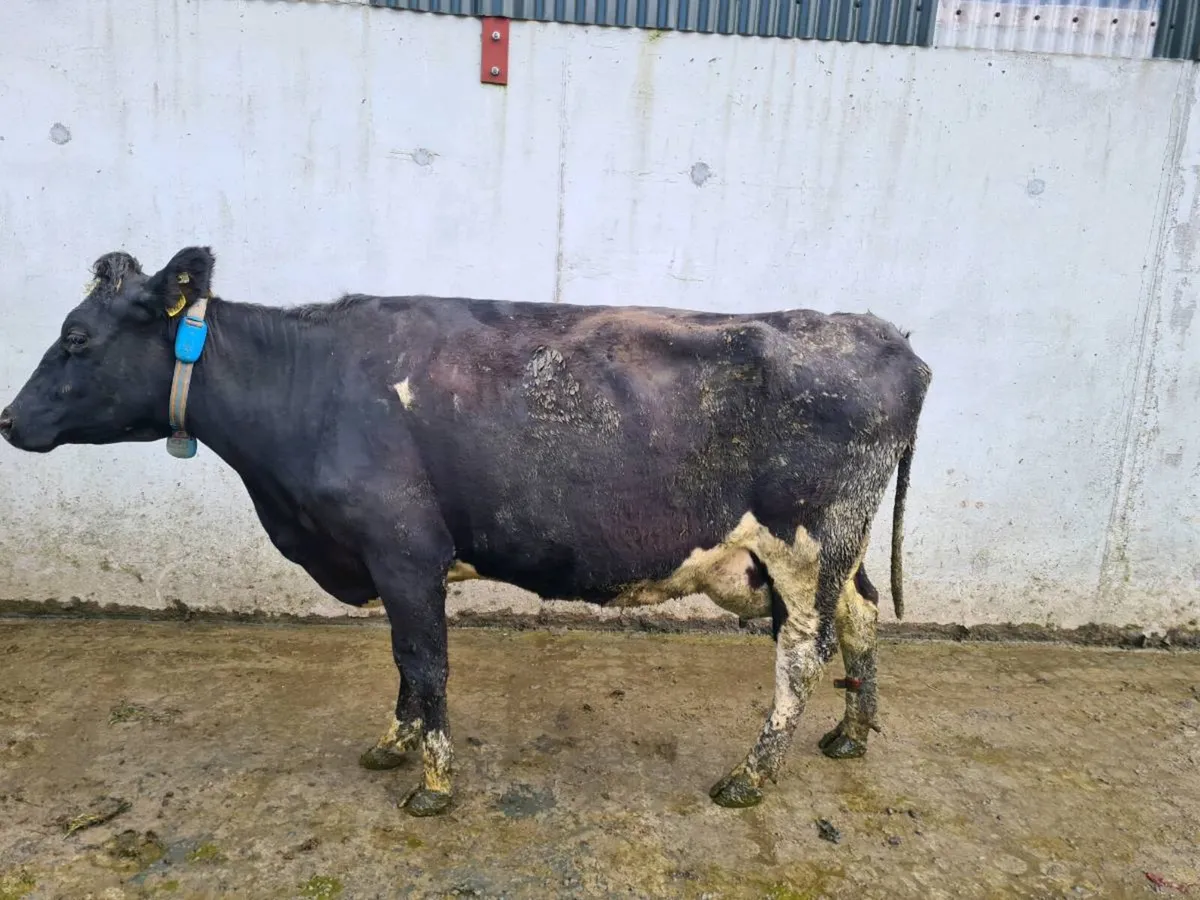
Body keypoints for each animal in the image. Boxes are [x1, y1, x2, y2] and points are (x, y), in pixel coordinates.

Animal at [0, 247, 931, 816]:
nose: (8, 419)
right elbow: (405, 664)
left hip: (804, 547)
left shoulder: (404, 548)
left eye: (76, 338)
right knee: (861, 618)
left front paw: (433, 783)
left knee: (802, 653)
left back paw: (751, 775)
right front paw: (394, 745)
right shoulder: (391, 561)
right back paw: (850, 735)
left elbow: (425, 661)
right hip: (836, 552)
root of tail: (887, 335)